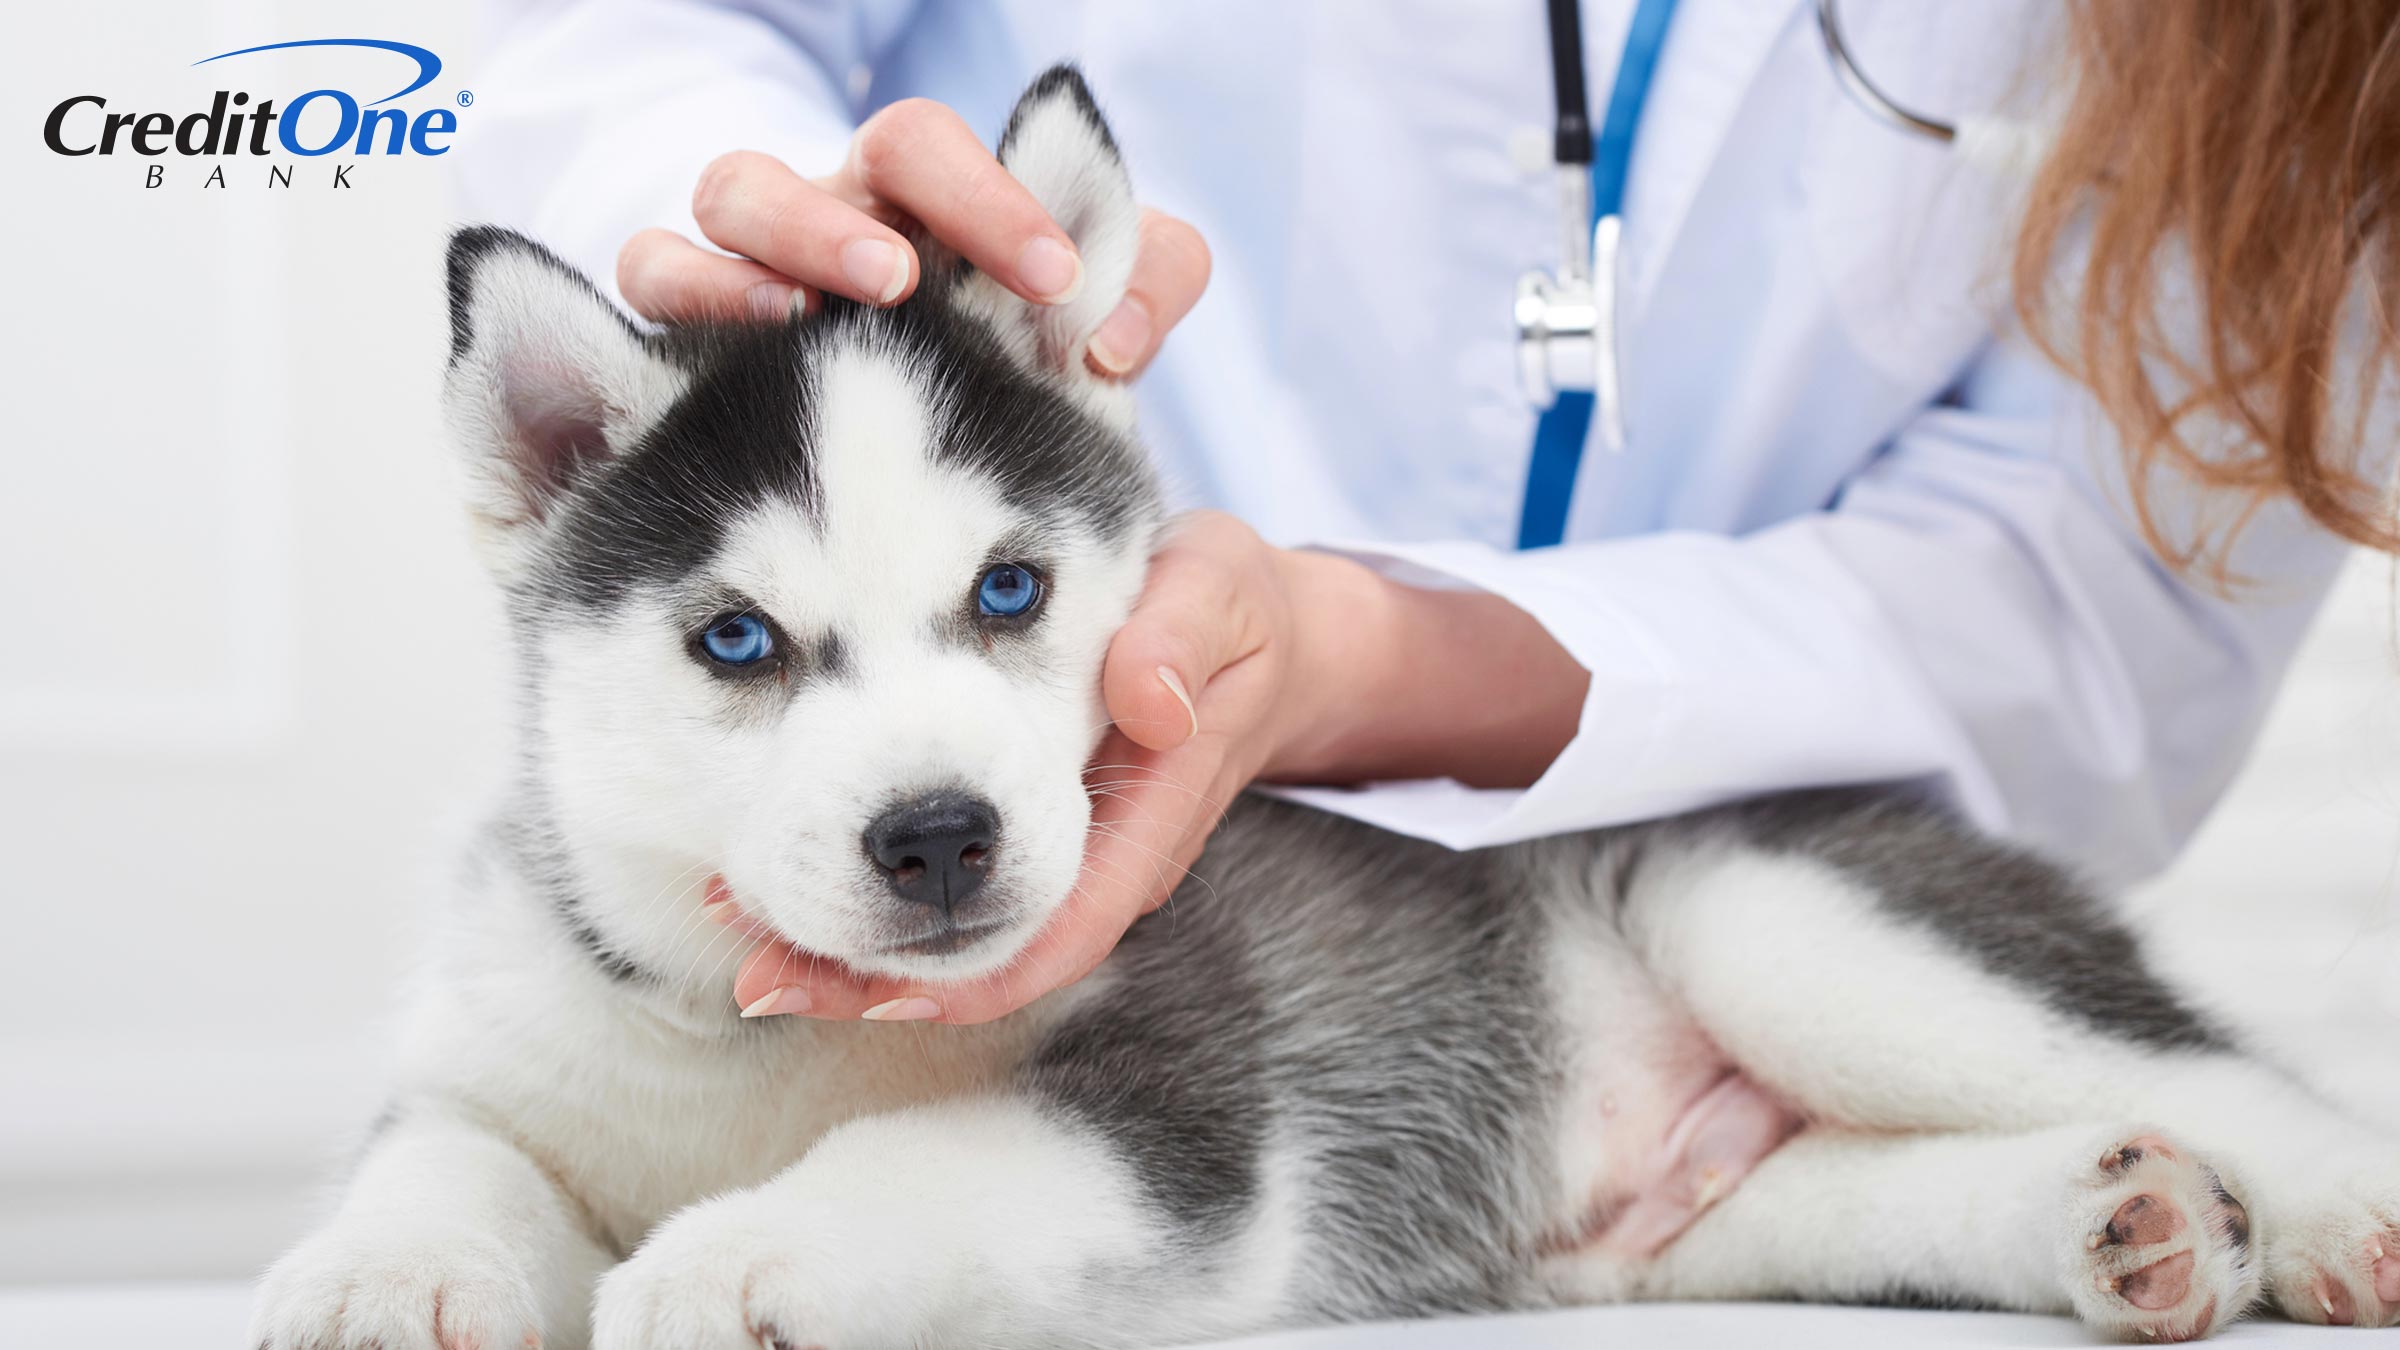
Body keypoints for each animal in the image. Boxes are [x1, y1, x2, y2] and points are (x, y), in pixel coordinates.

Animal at [248, 70, 2400, 1345]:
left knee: (2217, 1076)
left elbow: (931, 1165)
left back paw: (2324, 1215)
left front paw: (733, 1254)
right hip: (1675, 1232)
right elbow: (444, 1155)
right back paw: (2118, 1223)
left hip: (1783, 914)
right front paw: (377, 1275)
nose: (940, 839)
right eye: (735, 644)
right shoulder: (505, 1050)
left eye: (1011, 590)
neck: (767, 1044)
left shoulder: (1187, 1114)